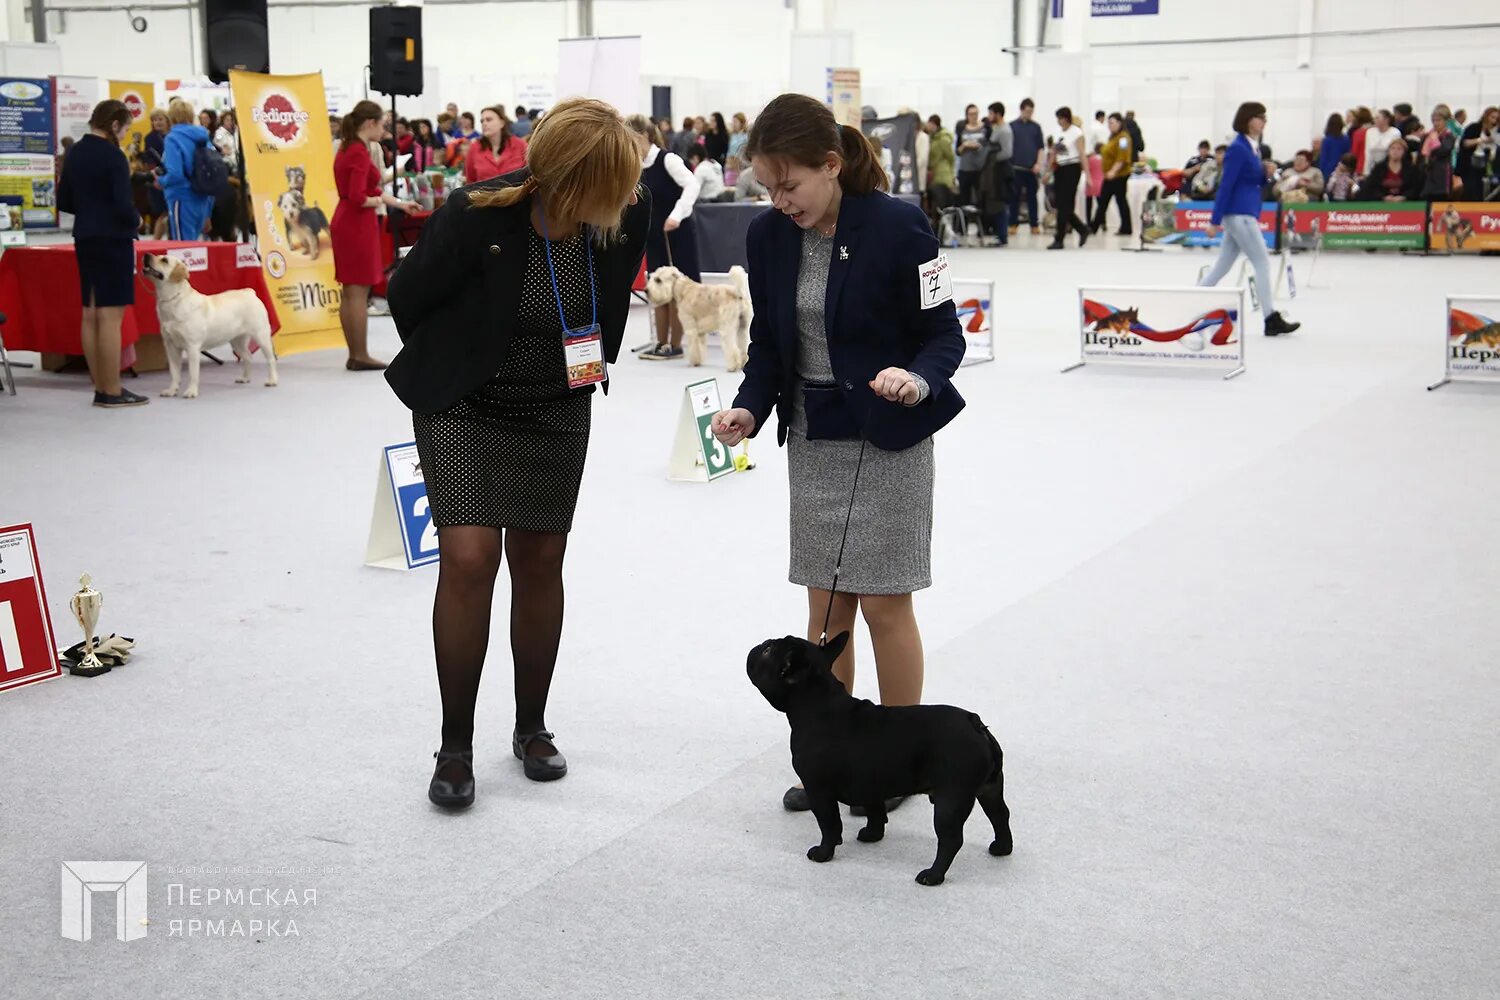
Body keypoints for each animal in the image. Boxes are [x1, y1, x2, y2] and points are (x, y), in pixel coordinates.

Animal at [142, 254, 282, 398]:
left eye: (164, 260)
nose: (146, 255)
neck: (173, 300)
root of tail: (249, 292)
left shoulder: (192, 346)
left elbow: (193, 373)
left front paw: (191, 391)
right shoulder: (171, 347)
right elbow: (174, 373)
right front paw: (171, 390)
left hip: (261, 335)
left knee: (270, 359)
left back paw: (272, 380)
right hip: (237, 341)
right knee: (248, 357)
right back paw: (245, 378)